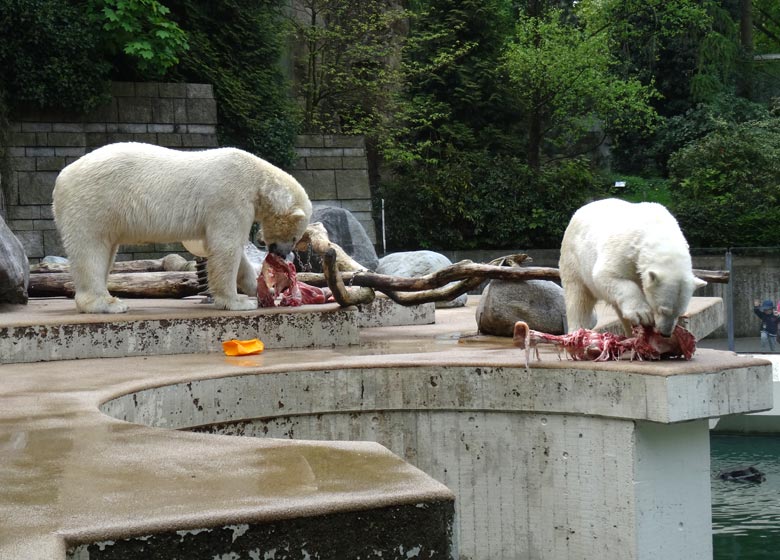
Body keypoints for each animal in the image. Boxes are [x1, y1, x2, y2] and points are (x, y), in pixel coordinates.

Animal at [51, 142, 314, 312]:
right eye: (294, 236)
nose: (281, 253)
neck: (257, 179)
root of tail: (61, 178)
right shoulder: (229, 198)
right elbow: (226, 247)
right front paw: (238, 302)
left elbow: (227, 249)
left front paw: (257, 287)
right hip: (93, 202)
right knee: (91, 250)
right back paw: (107, 304)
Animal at [556, 198, 704, 334]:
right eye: (662, 310)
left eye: (680, 312)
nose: (666, 333)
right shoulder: (625, 249)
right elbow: (605, 274)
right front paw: (643, 314)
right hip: (573, 259)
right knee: (578, 299)